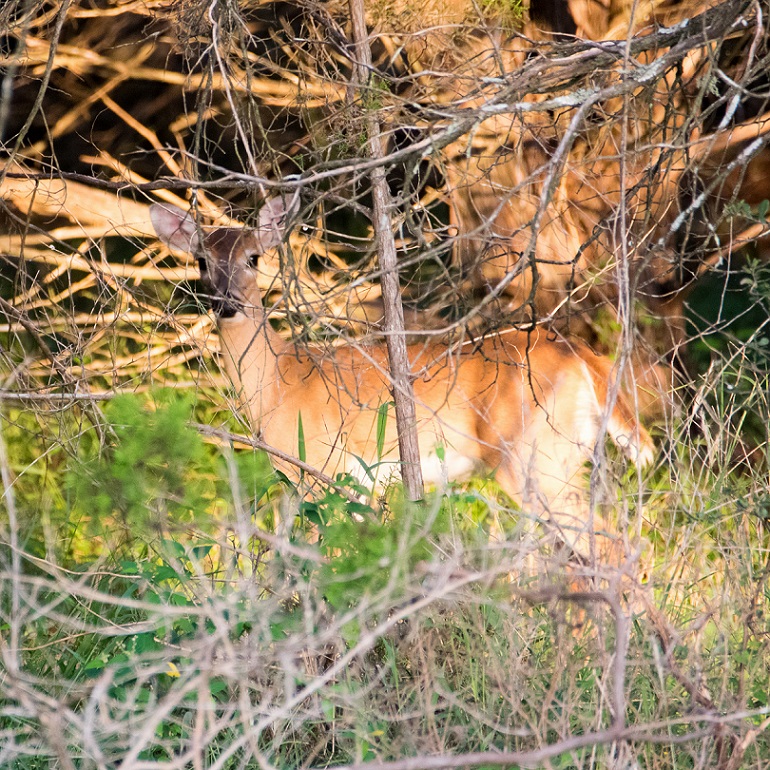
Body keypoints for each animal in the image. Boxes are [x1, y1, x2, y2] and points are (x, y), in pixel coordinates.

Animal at [150, 197, 653, 554]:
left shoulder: (322, 467)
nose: (225, 303)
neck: (279, 382)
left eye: (254, 258)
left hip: (531, 455)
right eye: (201, 261)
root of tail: (584, 358)